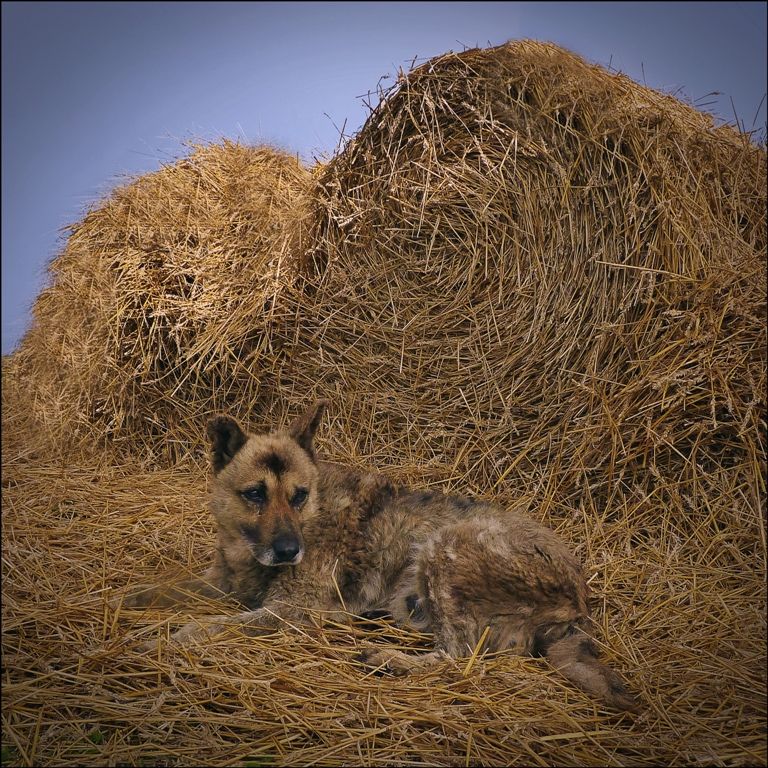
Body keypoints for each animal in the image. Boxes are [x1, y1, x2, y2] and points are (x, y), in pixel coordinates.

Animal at [123, 402, 640, 712]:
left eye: (298, 495)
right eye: (254, 494)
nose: (290, 550)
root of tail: (579, 601)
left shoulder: (290, 612)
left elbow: (209, 626)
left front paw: (166, 637)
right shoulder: (220, 581)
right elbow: (157, 590)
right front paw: (124, 602)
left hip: (445, 546)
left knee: (458, 656)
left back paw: (392, 659)